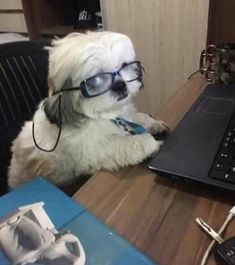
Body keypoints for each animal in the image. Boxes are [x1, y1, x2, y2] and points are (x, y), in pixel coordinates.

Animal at [7, 31, 169, 188]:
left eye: (124, 65)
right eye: (96, 79)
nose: (120, 85)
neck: (108, 115)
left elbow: (139, 117)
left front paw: (153, 124)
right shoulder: (95, 150)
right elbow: (130, 142)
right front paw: (153, 144)